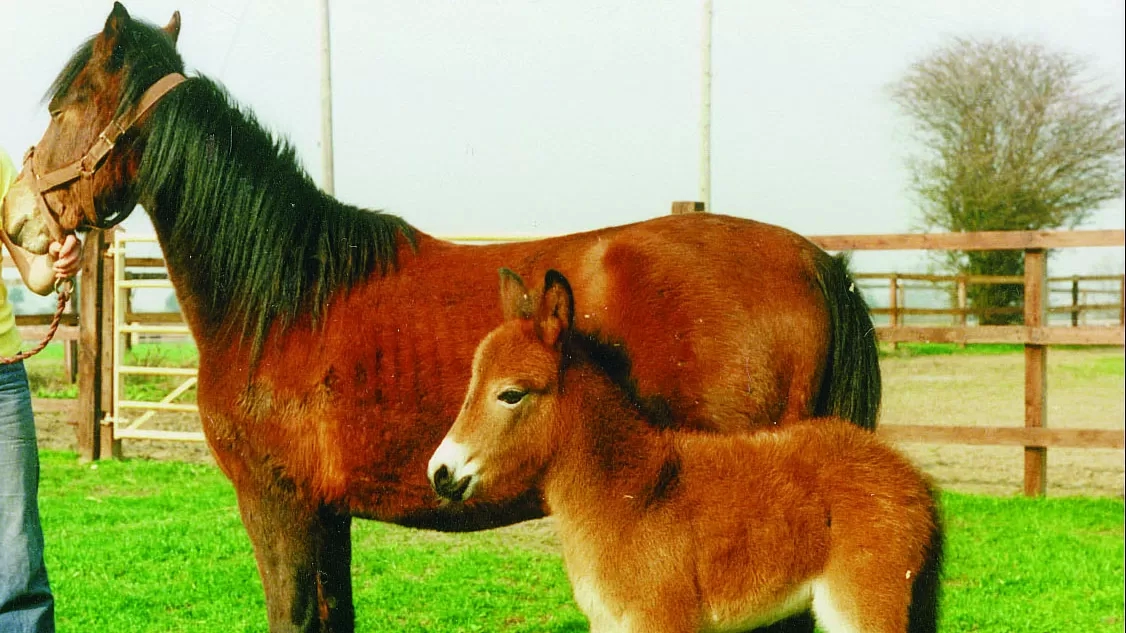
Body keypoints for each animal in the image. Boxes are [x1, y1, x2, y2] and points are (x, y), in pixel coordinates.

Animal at [8, 4, 881, 631]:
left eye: (71, 102)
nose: (18, 219)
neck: (285, 295)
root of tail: (818, 264)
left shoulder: (278, 502)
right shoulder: (326, 513)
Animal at [429, 268, 942, 633]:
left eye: (511, 394)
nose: (440, 472)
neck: (629, 493)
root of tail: (908, 474)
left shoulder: (659, 621)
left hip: (863, 607)